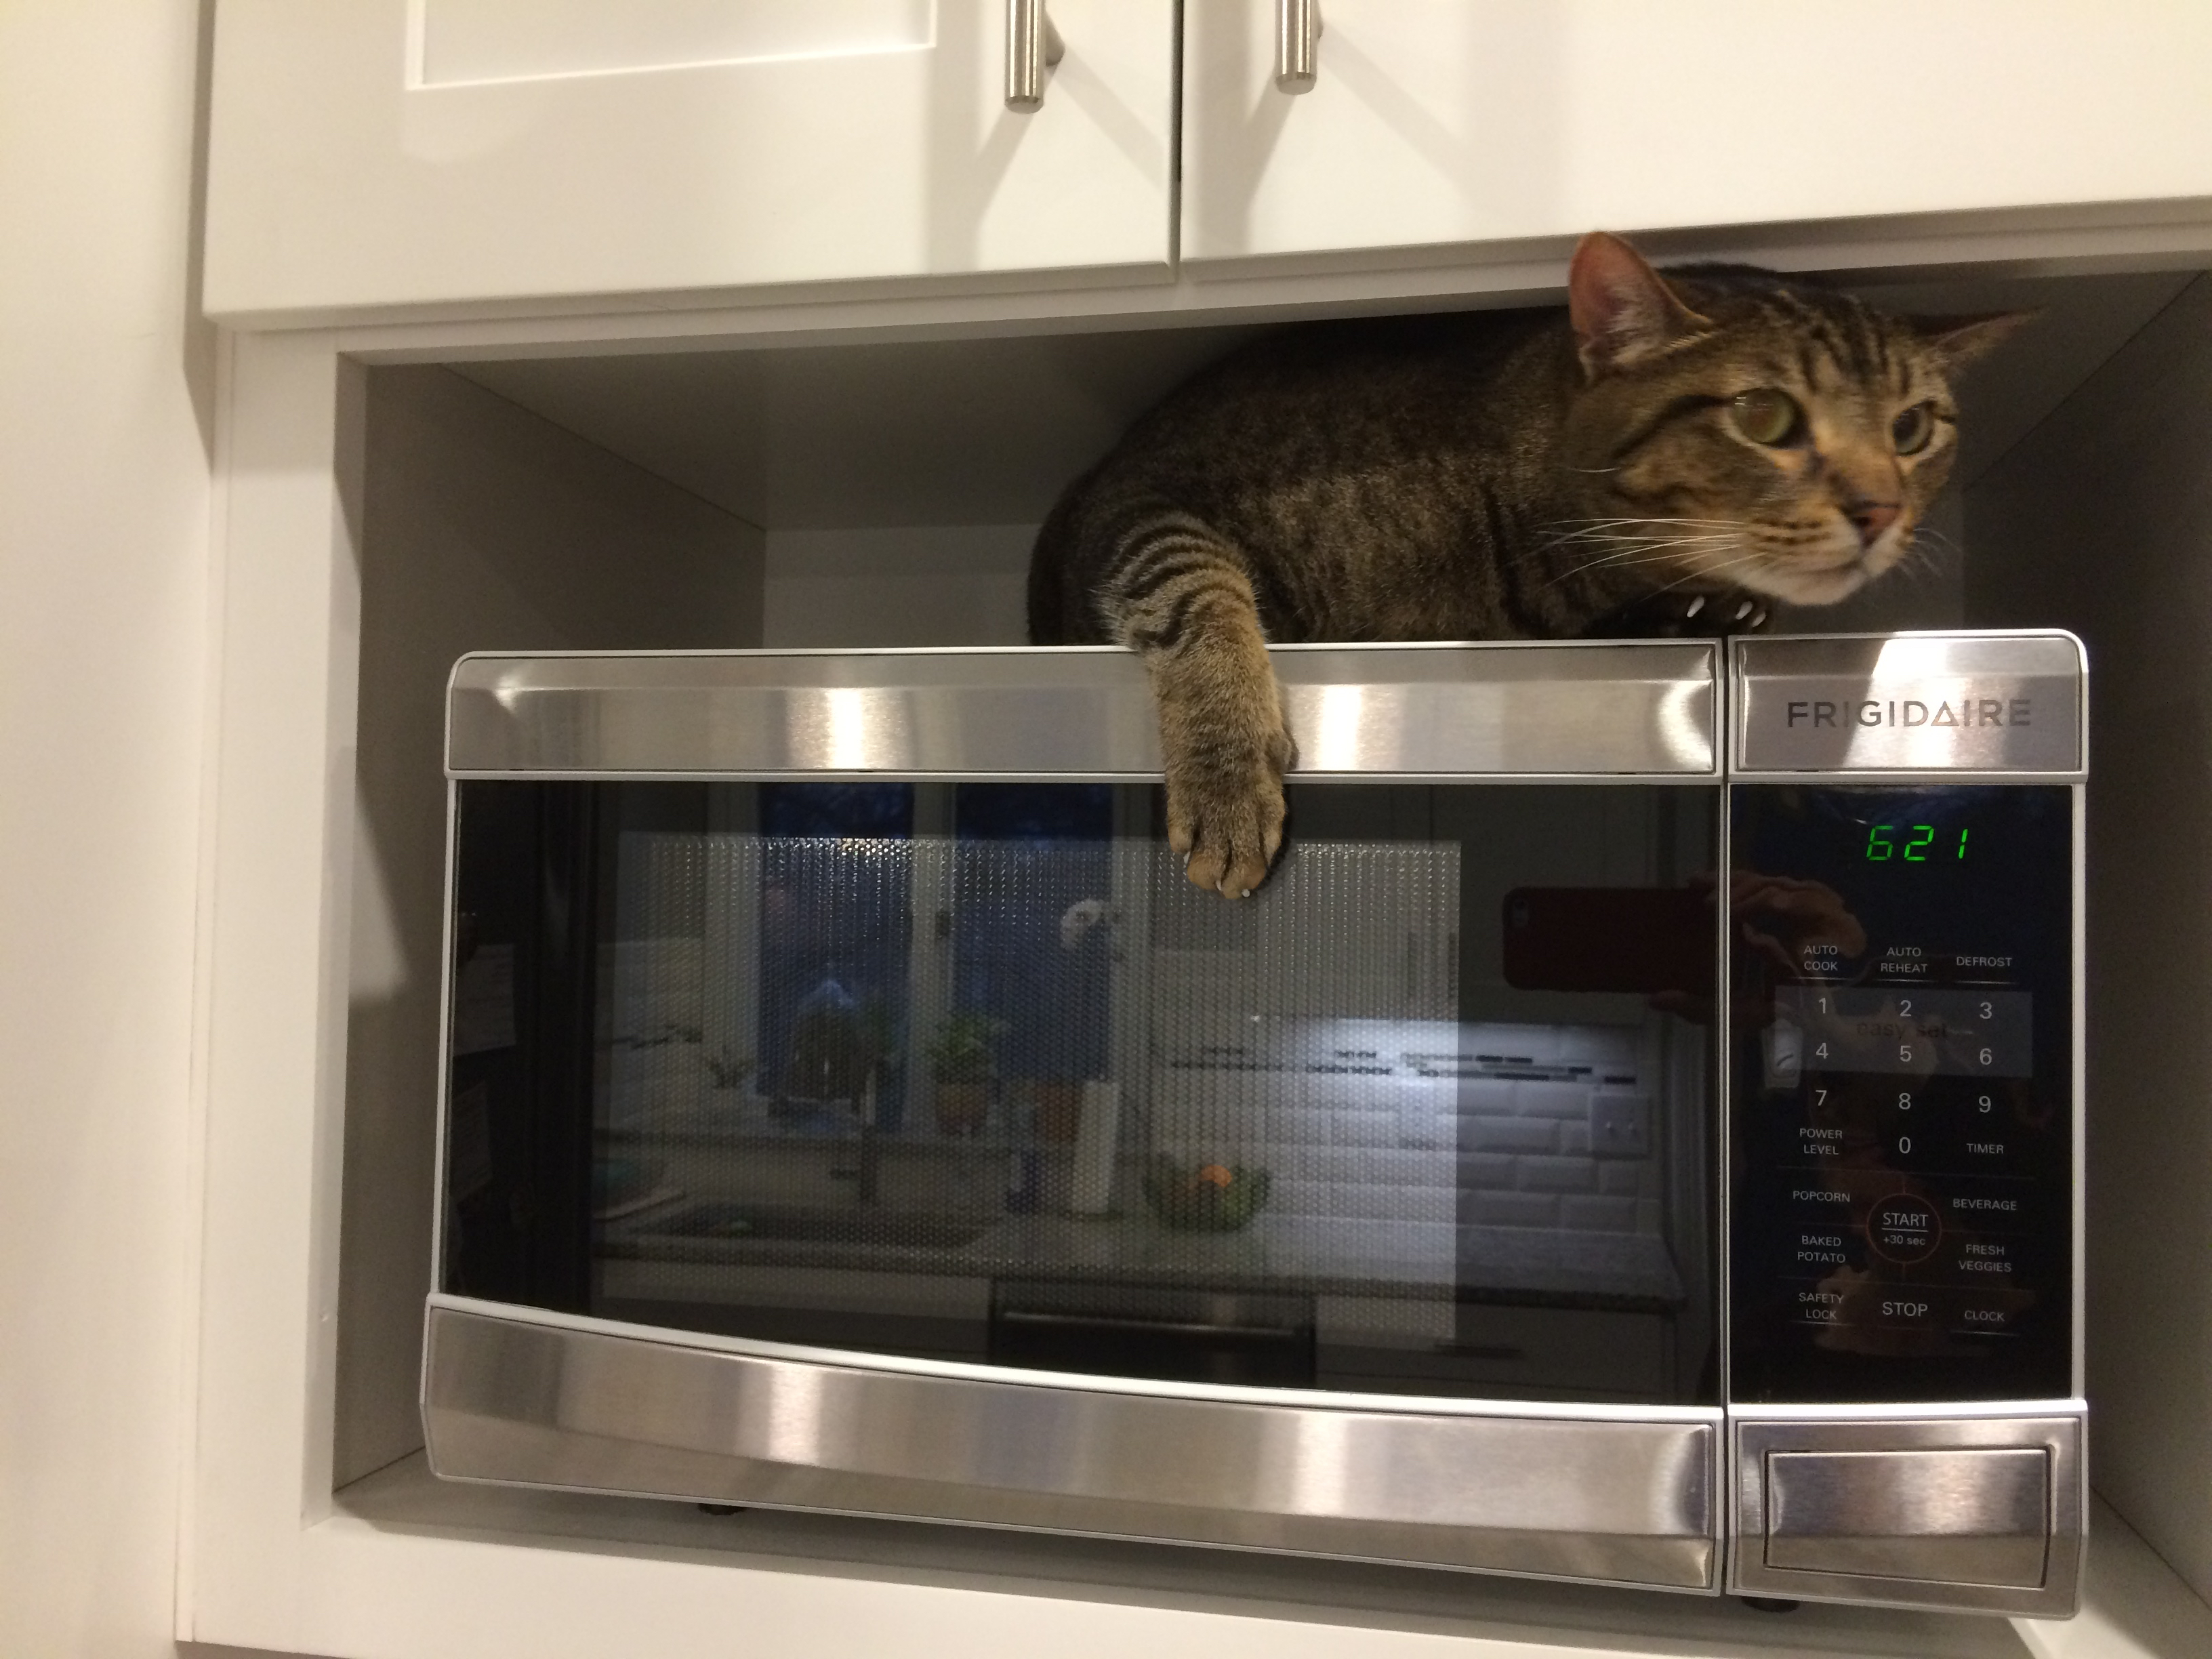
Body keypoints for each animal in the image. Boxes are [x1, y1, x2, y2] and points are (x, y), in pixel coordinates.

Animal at [1027, 232, 2022, 898]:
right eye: (1766, 416)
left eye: (1914, 428)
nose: (1881, 509)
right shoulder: (1145, 500)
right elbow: (1200, 600)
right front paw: (1230, 777)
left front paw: (1708, 610)